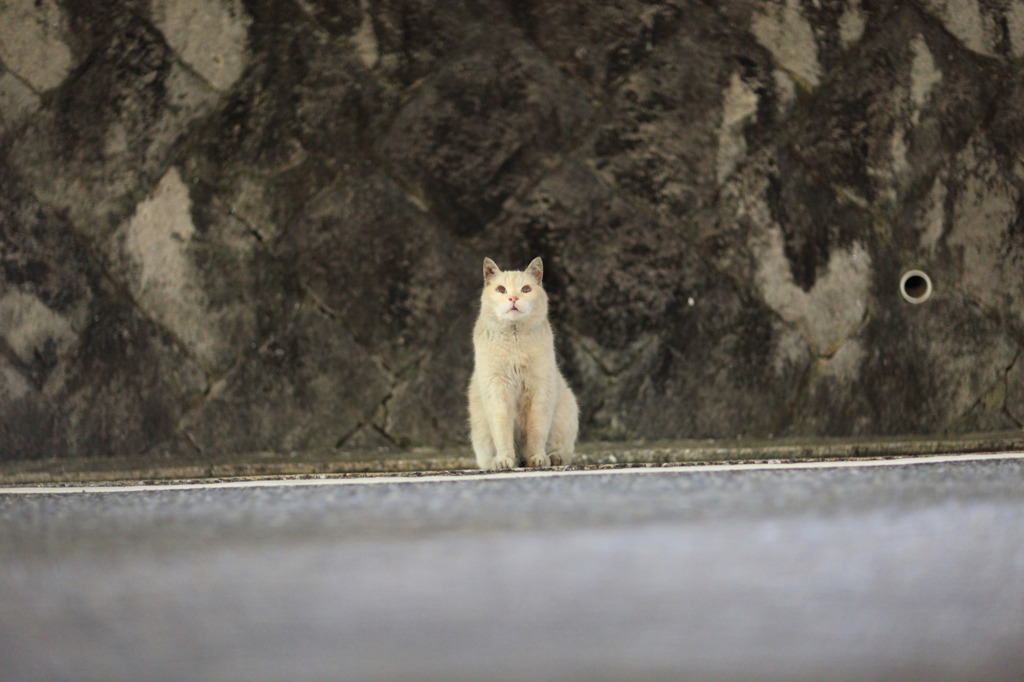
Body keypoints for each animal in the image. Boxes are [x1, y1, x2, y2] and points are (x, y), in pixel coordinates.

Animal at [468, 254, 581, 466]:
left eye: (526, 289)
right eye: (501, 289)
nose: (513, 298)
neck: (515, 342)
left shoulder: (540, 390)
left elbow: (537, 432)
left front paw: (537, 458)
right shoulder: (497, 390)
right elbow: (502, 432)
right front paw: (504, 460)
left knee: (562, 451)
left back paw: (553, 458)